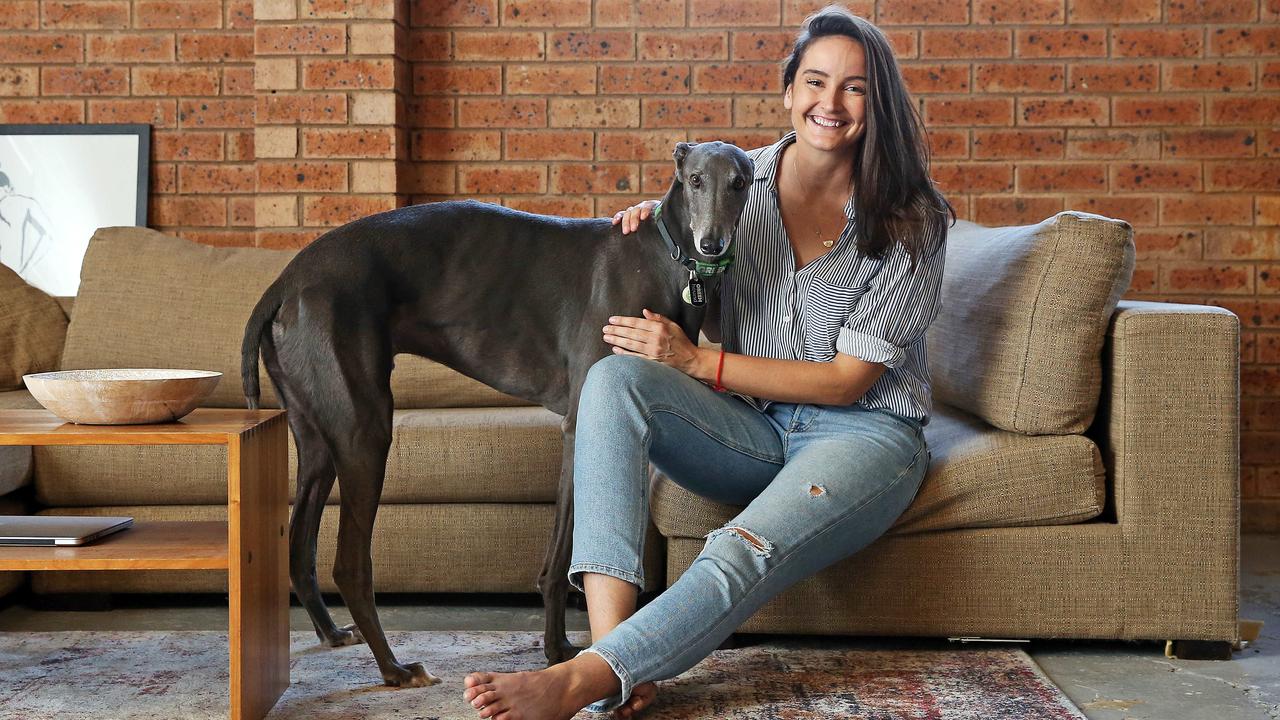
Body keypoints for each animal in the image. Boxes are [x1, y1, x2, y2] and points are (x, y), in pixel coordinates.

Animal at [240, 139, 752, 681]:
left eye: (739, 183)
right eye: (695, 179)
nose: (712, 244)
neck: (665, 258)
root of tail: (286, 280)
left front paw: (557, 649)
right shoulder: (582, 422)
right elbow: (561, 557)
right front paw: (556, 653)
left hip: (316, 437)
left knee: (300, 547)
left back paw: (333, 633)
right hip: (364, 432)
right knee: (349, 563)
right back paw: (394, 668)